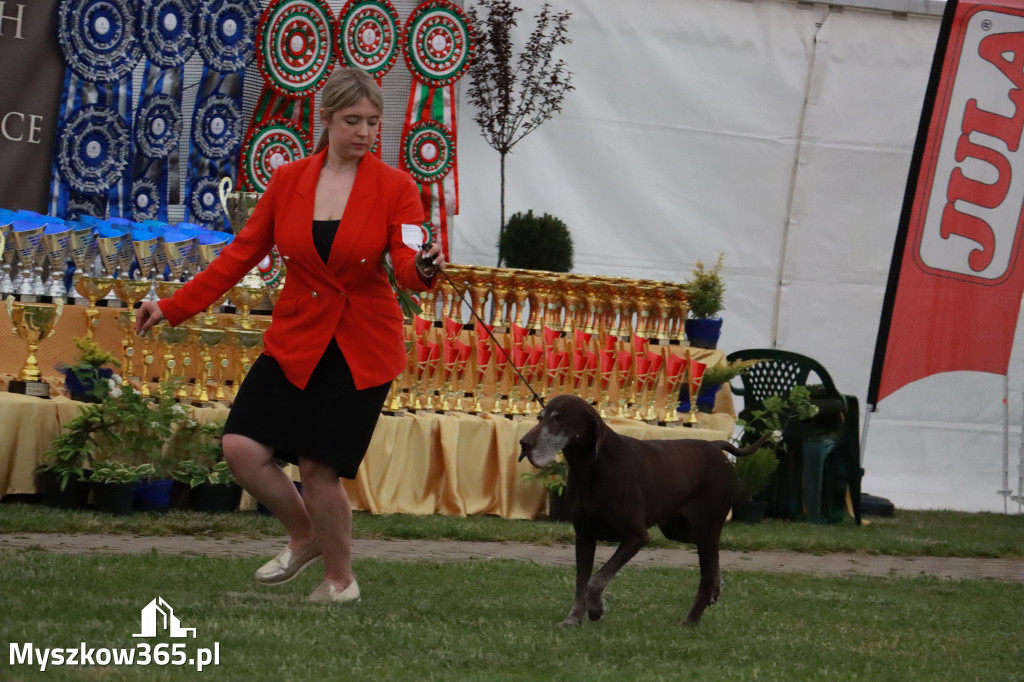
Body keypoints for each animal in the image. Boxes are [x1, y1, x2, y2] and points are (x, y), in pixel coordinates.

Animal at [520, 393, 761, 622]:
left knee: (705, 576)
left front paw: (596, 608)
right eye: (540, 417)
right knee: (713, 556)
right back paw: (716, 586)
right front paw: (574, 618)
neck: (591, 468)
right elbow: (581, 583)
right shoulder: (585, 536)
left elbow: (595, 581)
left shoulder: (636, 536)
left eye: (558, 418)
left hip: (704, 526)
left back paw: (691, 620)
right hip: (679, 530)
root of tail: (715, 445)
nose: (523, 443)